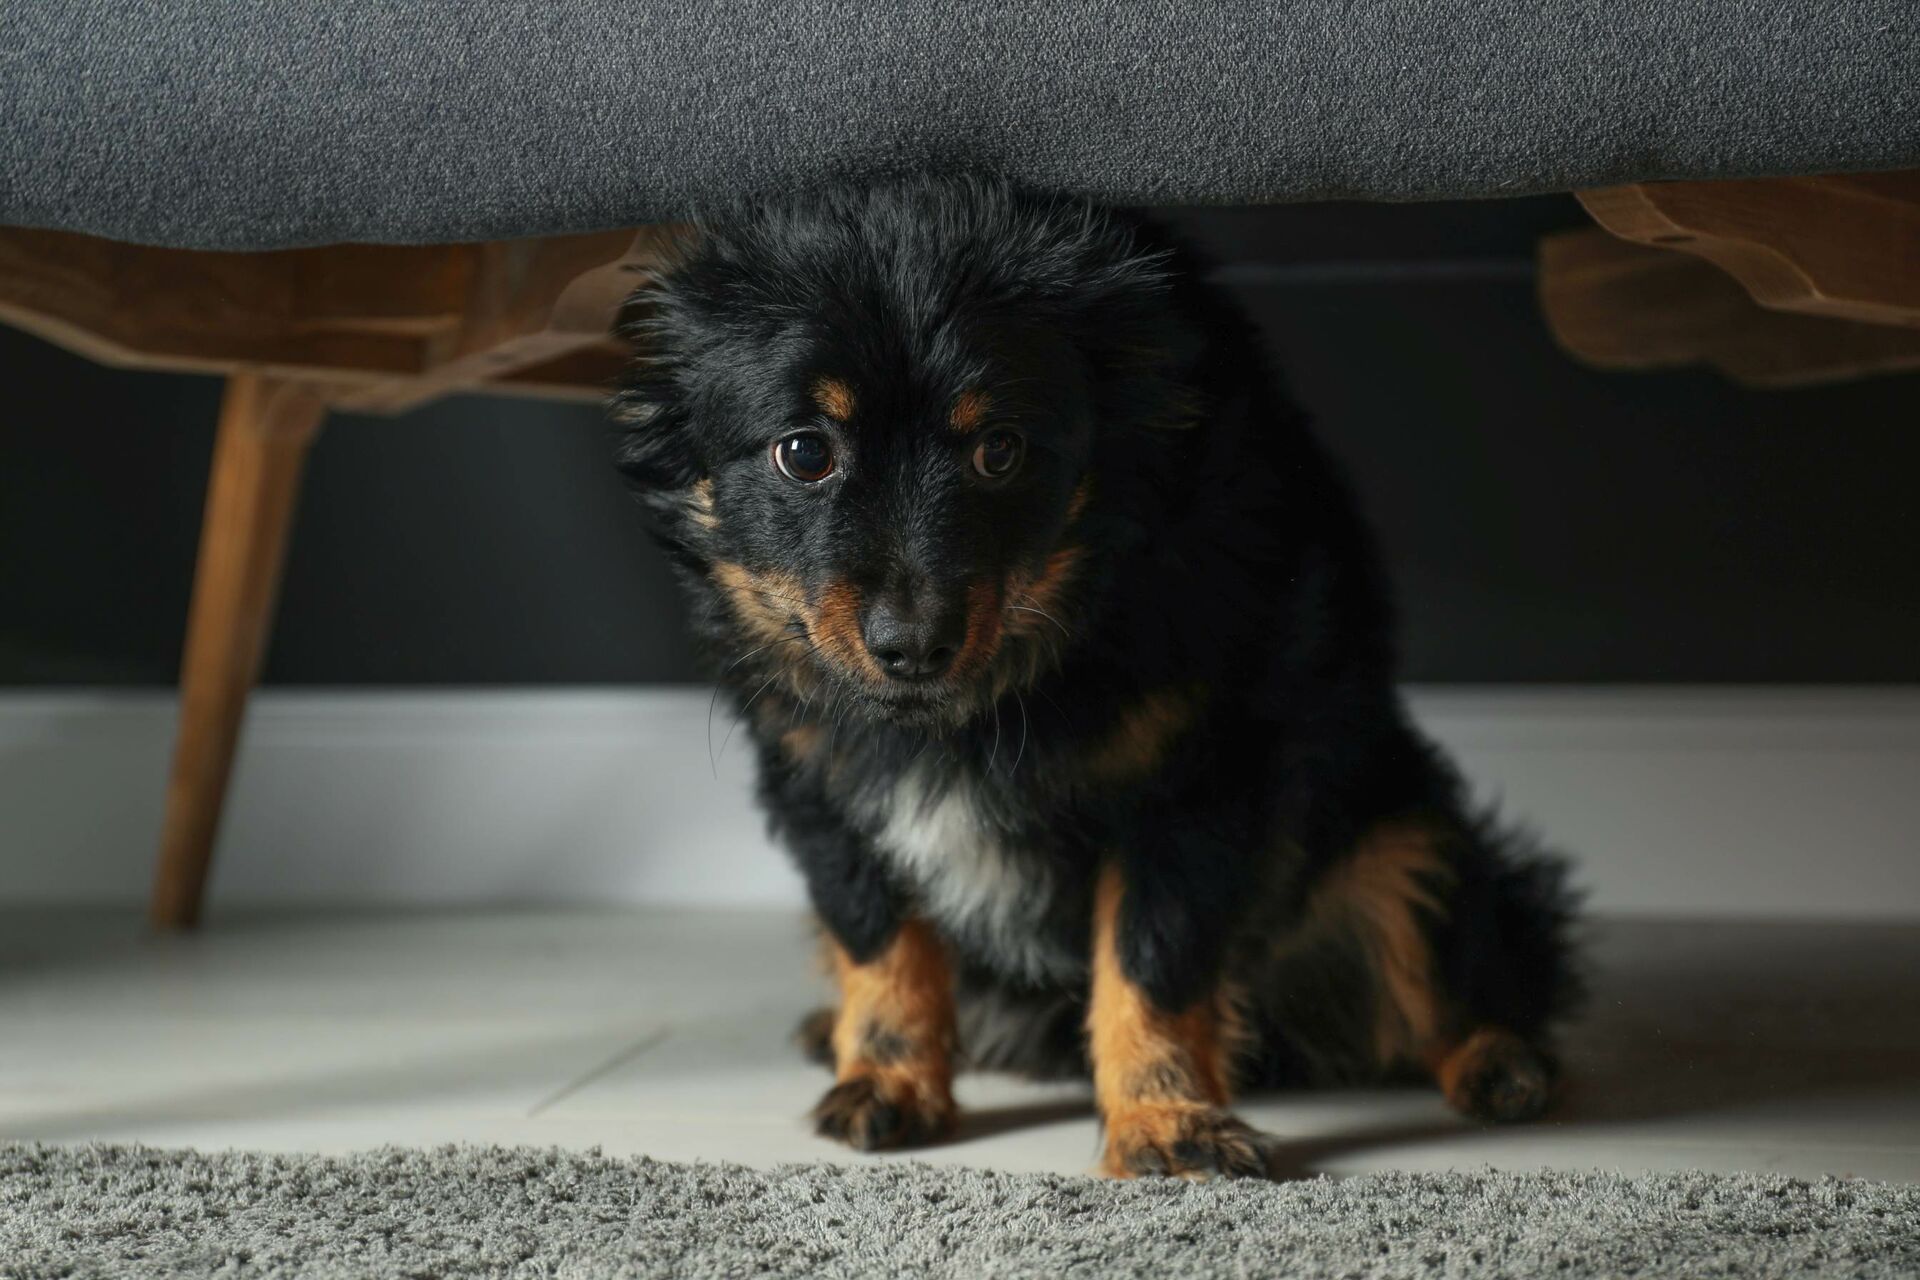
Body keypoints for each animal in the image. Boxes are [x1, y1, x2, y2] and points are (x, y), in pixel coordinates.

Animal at [610, 180, 1574, 1182]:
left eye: (1000, 449)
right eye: (804, 452)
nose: (913, 646)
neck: (984, 700)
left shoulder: (1199, 782)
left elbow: (1151, 960)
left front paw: (1165, 1121)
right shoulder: (818, 785)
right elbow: (879, 939)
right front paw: (888, 1079)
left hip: (1406, 835)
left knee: (1462, 977)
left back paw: (1502, 1064)